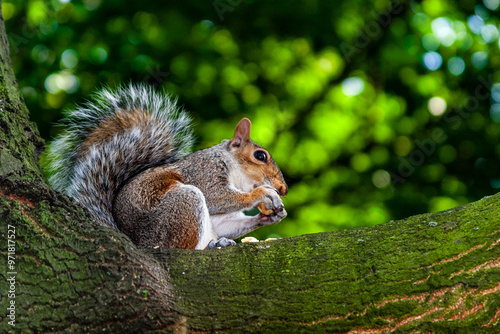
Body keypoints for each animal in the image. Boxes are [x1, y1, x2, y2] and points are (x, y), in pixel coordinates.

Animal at [47, 85, 290, 249]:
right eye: (260, 156)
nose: (283, 189)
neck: (235, 171)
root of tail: (139, 243)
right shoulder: (204, 171)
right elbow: (215, 196)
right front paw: (262, 194)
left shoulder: (219, 216)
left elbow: (226, 223)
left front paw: (272, 216)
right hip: (182, 205)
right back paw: (212, 246)